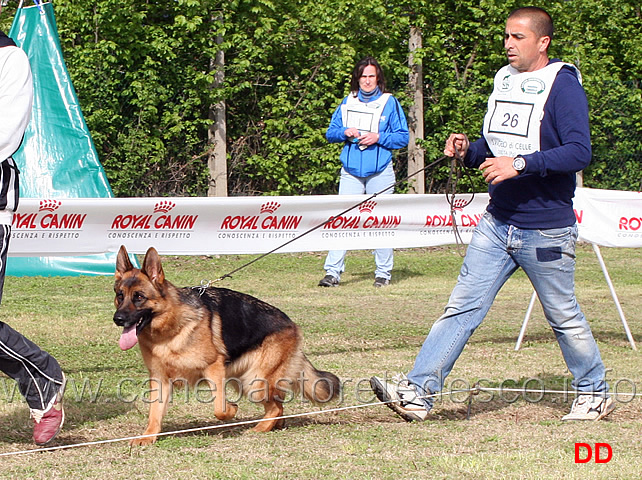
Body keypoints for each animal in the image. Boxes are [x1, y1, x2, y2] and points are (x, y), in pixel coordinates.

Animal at [111, 248, 340, 446]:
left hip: (254, 382)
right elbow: (154, 413)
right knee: (279, 403)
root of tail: (291, 324)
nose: (118, 319)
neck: (170, 329)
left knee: (275, 406)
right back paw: (274, 425)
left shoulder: (214, 368)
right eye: (120, 296)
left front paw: (232, 409)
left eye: (139, 297)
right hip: (245, 381)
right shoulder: (159, 379)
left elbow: (219, 408)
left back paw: (259, 428)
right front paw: (148, 436)